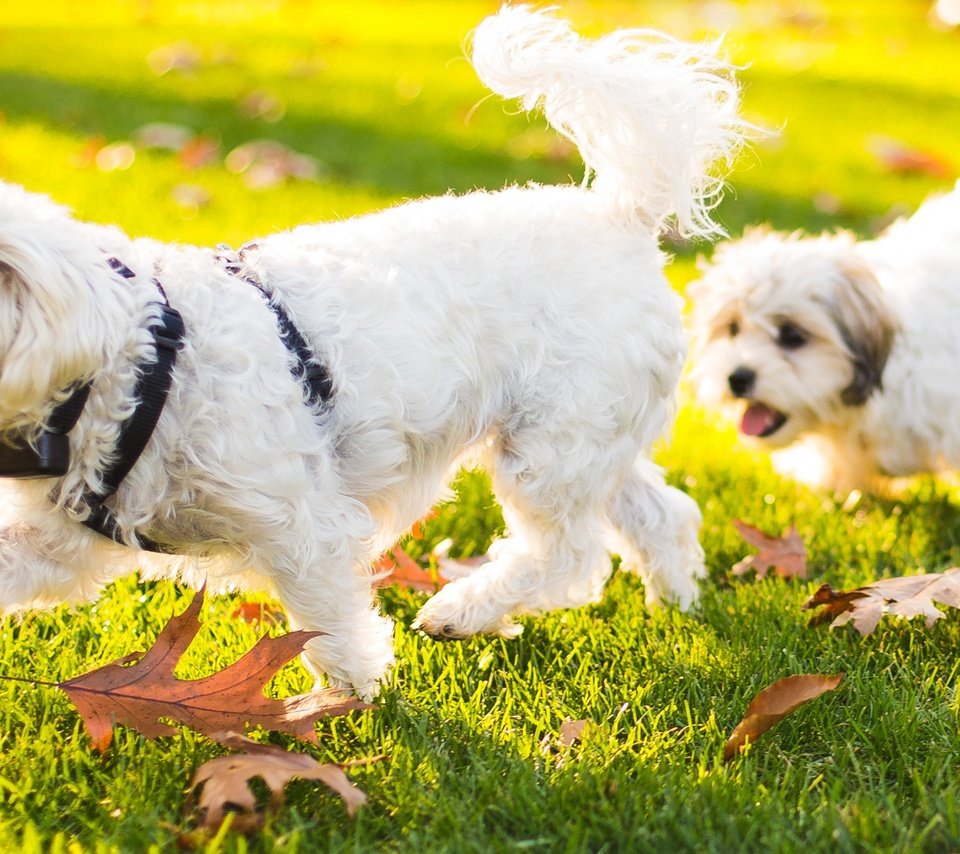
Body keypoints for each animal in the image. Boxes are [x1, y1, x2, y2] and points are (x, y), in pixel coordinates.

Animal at [0, 5, 744, 696]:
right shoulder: (58, 540)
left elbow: (328, 621)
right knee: (660, 513)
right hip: (593, 439)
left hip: (552, 446)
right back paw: (676, 600)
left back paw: (464, 611)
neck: (138, 365)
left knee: (569, 556)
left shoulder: (302, 524)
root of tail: (622, 215)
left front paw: (346, 699)